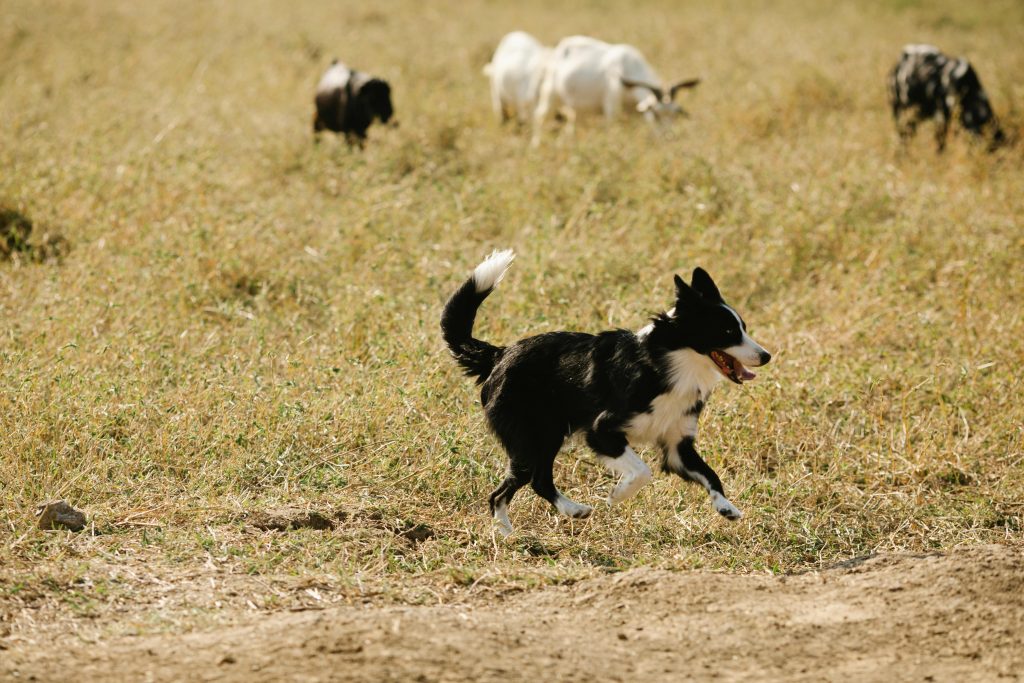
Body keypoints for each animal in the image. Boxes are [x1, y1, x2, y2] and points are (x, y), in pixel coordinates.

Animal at [440, 250, 770, 532]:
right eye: (727, 332)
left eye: (743, 327)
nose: (766, 356)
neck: (668, 364)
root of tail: (500, 354)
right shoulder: (601, 430)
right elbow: (642, 471)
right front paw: (618, 494)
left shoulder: (677, 445)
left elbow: (710, 474)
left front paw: (725, 506)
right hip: (535, 436)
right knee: (516, 487)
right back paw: (528, 526)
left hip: (542, 437)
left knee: (527, 484)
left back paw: (542, 522)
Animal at [532, 35, 700, 145]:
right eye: (655, 113)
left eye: (675, 114)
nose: (668, 137)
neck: (628, 67)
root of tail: (561, 47)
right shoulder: (611, 110)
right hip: (550, 97)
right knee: (540, 118)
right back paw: (536, 145)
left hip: (577, 111)